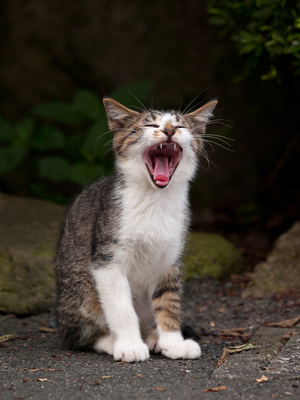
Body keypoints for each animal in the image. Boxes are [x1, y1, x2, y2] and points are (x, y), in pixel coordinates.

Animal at [54, 97, 218, 362]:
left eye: (180, 126)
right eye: (151, 124)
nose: (169, 131)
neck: (155, 201)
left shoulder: (169, 259)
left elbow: (169, 300)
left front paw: (173, 341)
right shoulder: (107, 259)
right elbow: (121, 306)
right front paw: (129, 344)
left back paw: (153, 336)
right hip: (79, 297)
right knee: (77, 337)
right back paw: (111, 340)